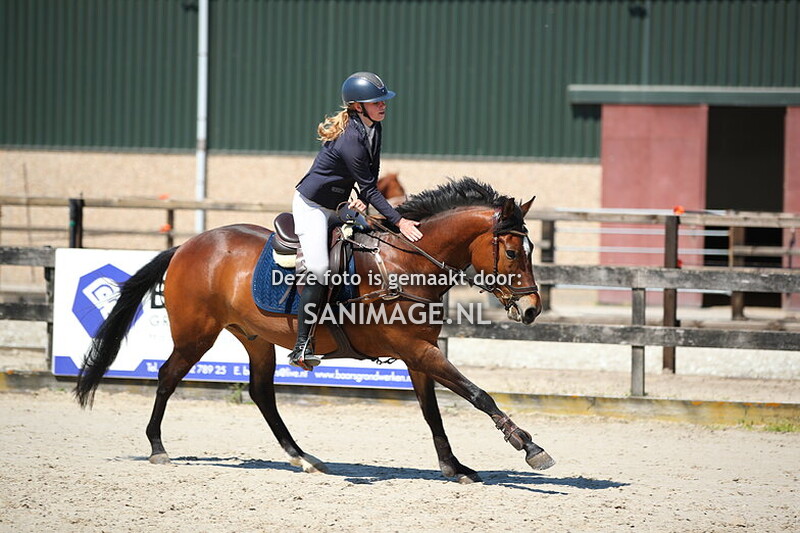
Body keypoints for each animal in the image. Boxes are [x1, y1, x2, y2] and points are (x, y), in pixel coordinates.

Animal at [75, 178, 554, 483]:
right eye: (514, 252)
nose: (531, 309)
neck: (406, 262)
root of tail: (187, 245)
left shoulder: (421, 354)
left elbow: (432, 411)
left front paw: (454, 467)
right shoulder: (417, 350)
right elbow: (478, 394)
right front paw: (528, 446)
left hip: (254, 338)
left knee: (261, 393)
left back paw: (302, 458)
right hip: (197, 335)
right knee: (167, 376)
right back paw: (157, 448)